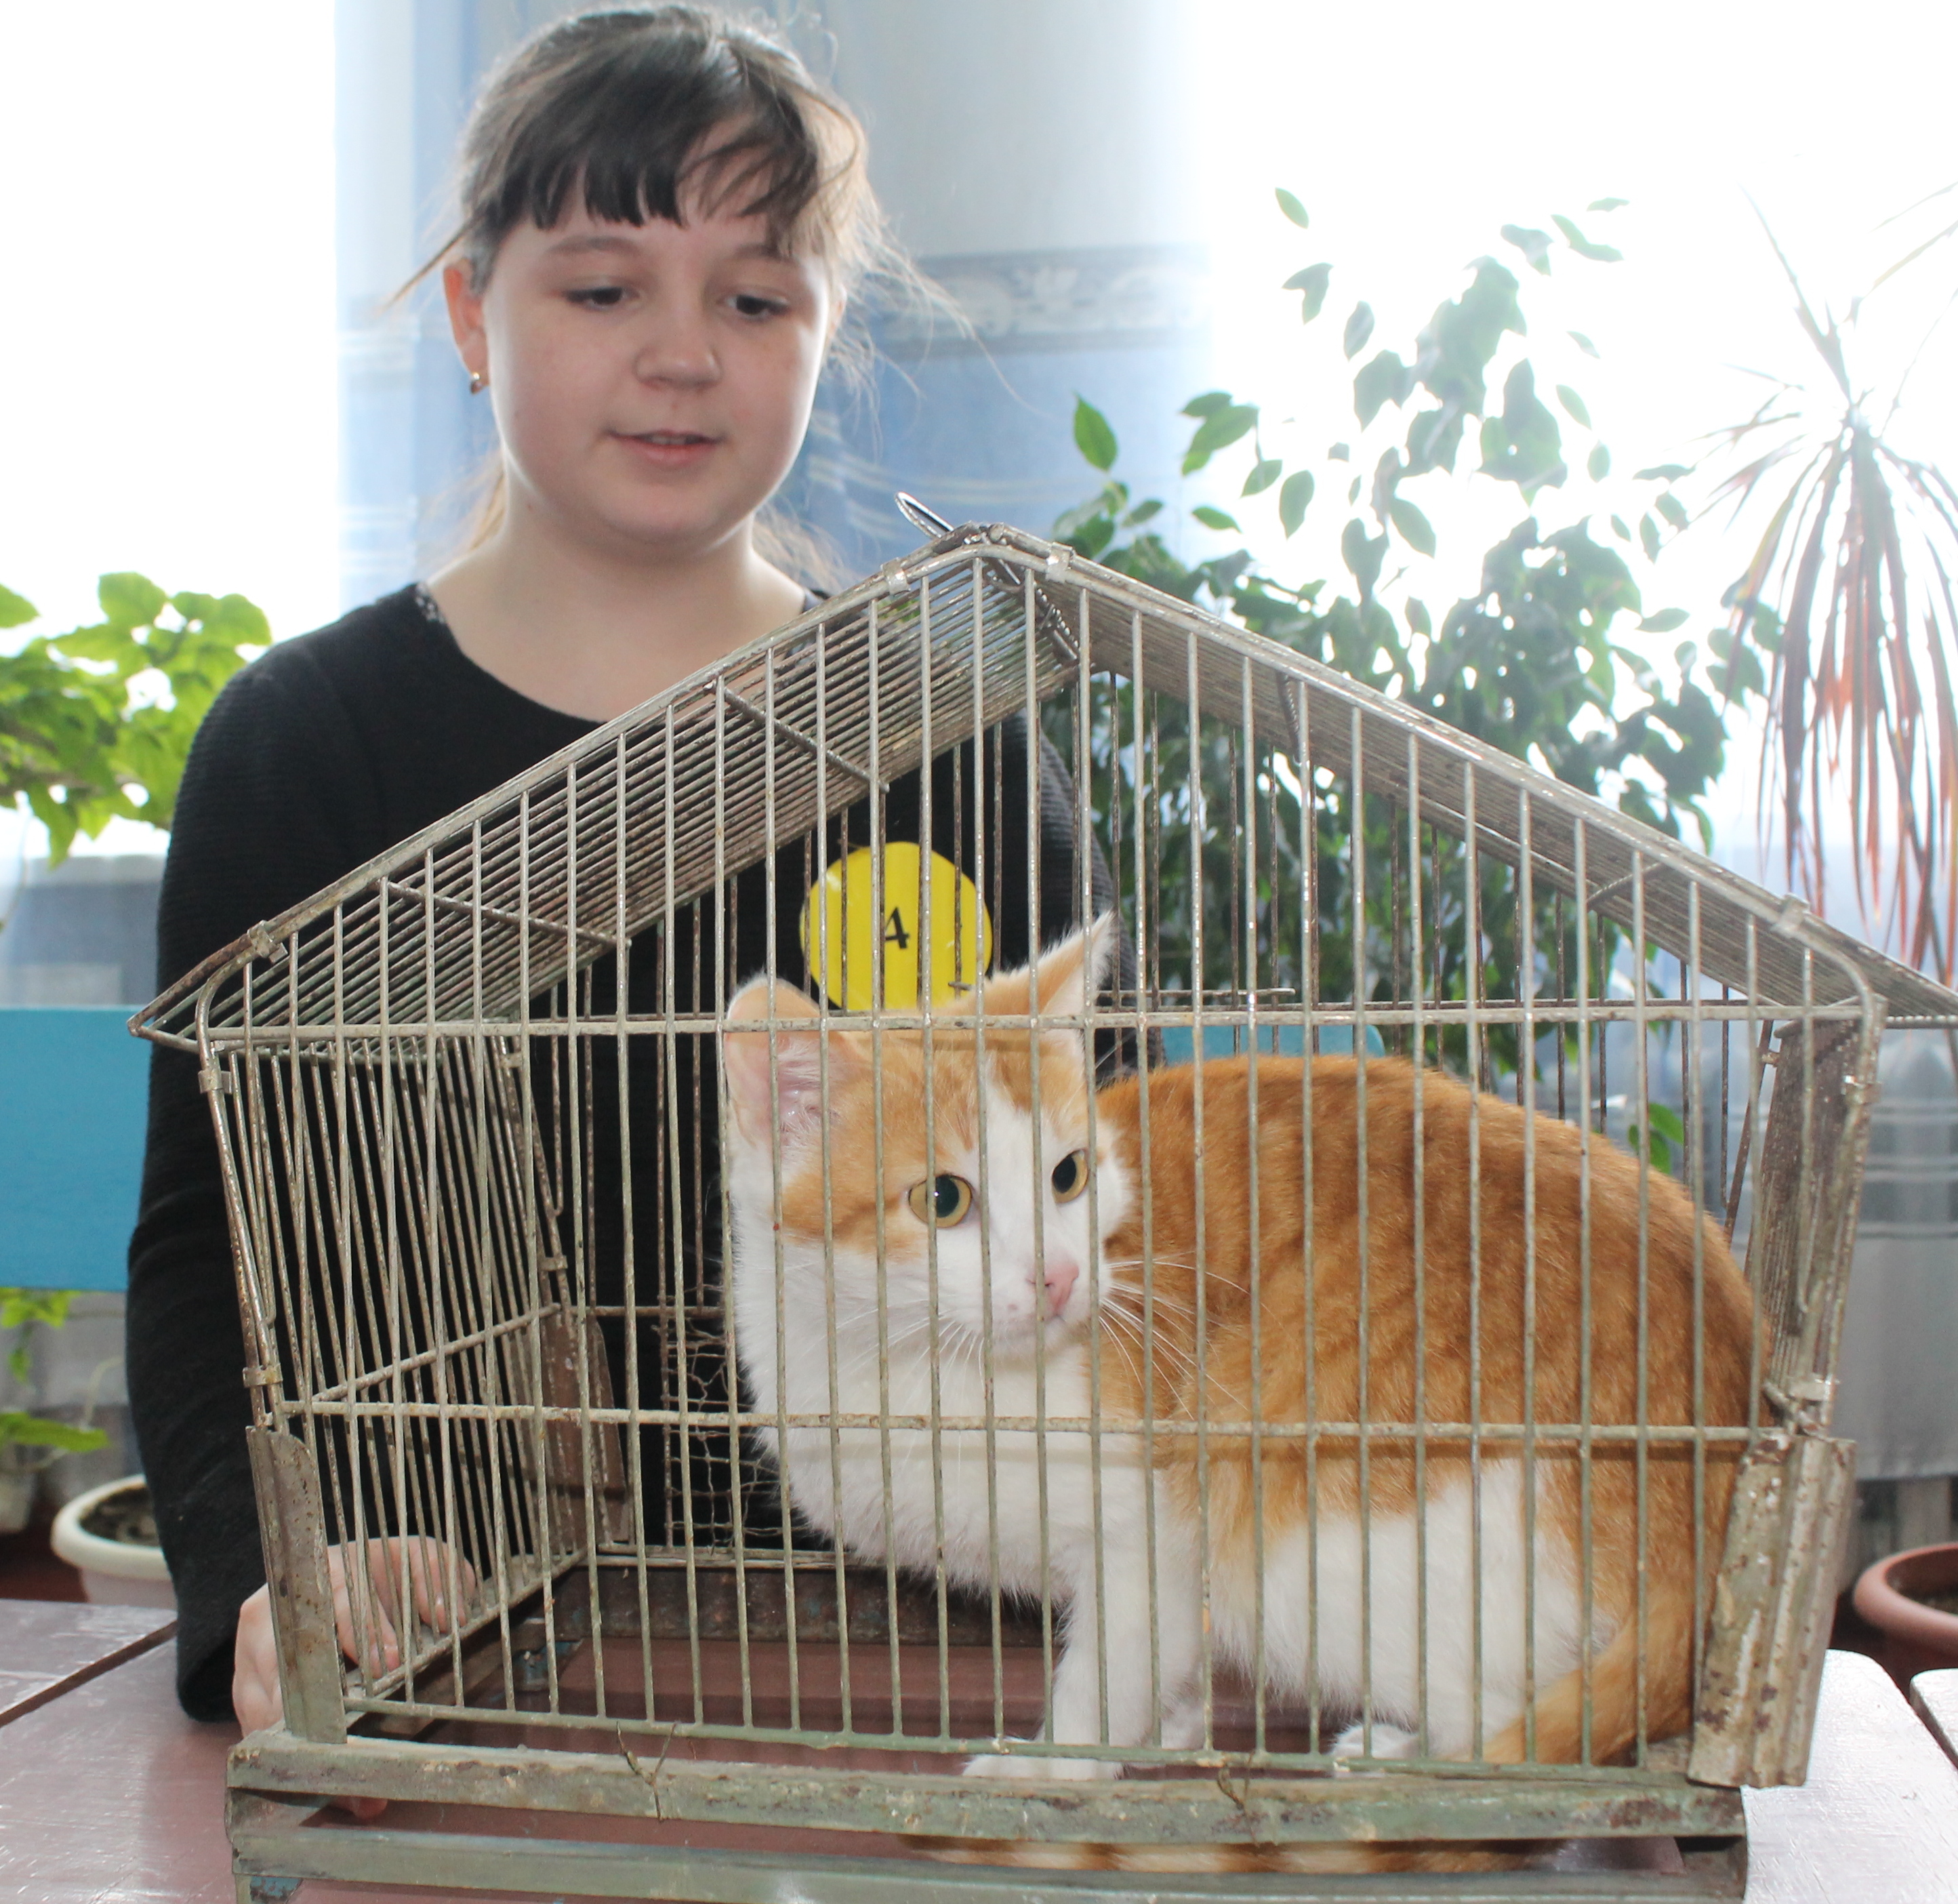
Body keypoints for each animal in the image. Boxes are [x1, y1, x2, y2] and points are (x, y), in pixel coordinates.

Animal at [718, 916, 1755, 1872]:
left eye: (1067, 1175)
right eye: (943, 1200)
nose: (1061, 1276)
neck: (905, 1374)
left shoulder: (1150, 1529)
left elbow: (1106, 1673)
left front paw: (1049, 1777)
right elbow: (1165, 1665)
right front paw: (1172, 1730)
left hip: (1316, 1546)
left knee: (1504, 1741)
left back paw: (1404, 1768)